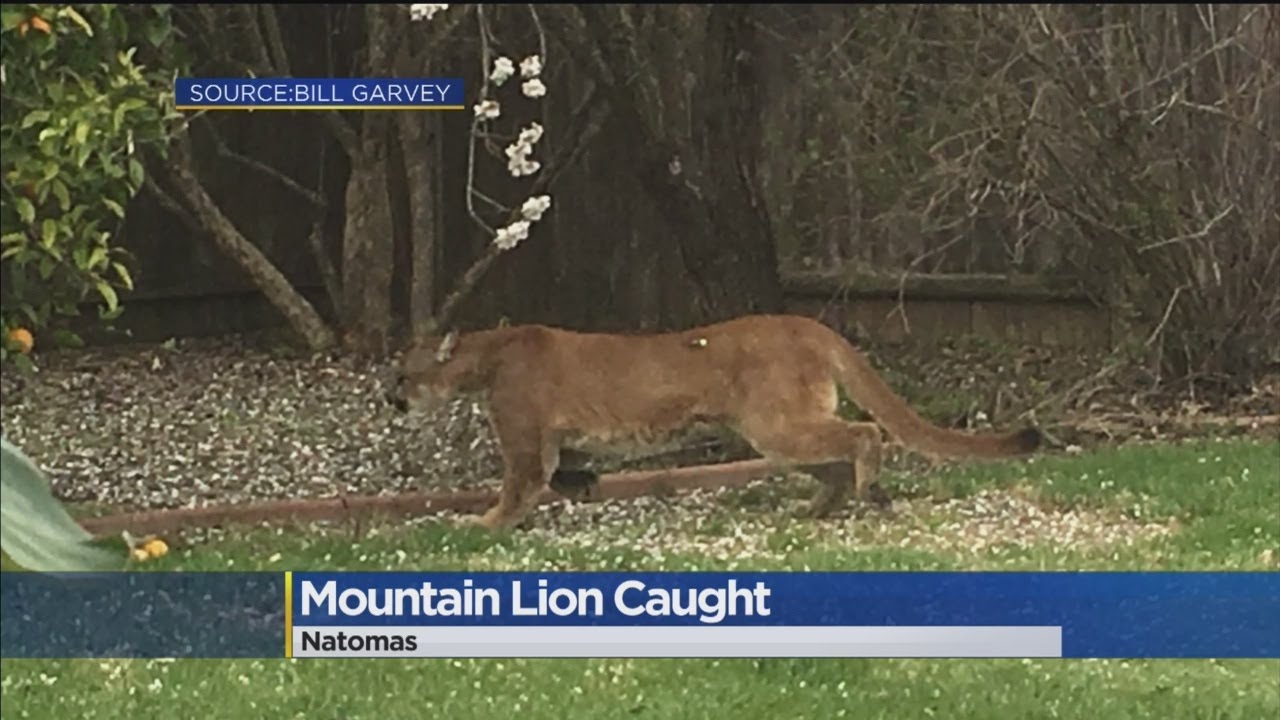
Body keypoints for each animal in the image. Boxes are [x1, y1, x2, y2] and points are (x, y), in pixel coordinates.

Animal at [388, 314, 1041, 530]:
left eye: (403, 373)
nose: (393, 399)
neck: (489, 354)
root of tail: (808, 323)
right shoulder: (555, 440)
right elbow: (562, 470)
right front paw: (581, 485)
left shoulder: (524, 438)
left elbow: (518, 485)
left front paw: (482, 523)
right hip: (772, 433)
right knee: (833, 460)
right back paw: (815, 510)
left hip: (774, 425)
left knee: (865, 433)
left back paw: (869, 491)